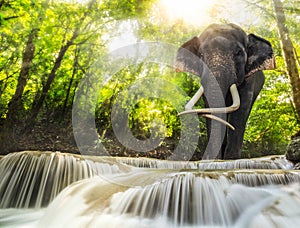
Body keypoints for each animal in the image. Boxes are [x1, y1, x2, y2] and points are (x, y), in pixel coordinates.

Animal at [175, 22, 276, 159]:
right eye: (200, 55)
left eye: (238, 52)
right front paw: (211, 159)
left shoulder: (249, 79)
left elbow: (241, 109)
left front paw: (231, 159)